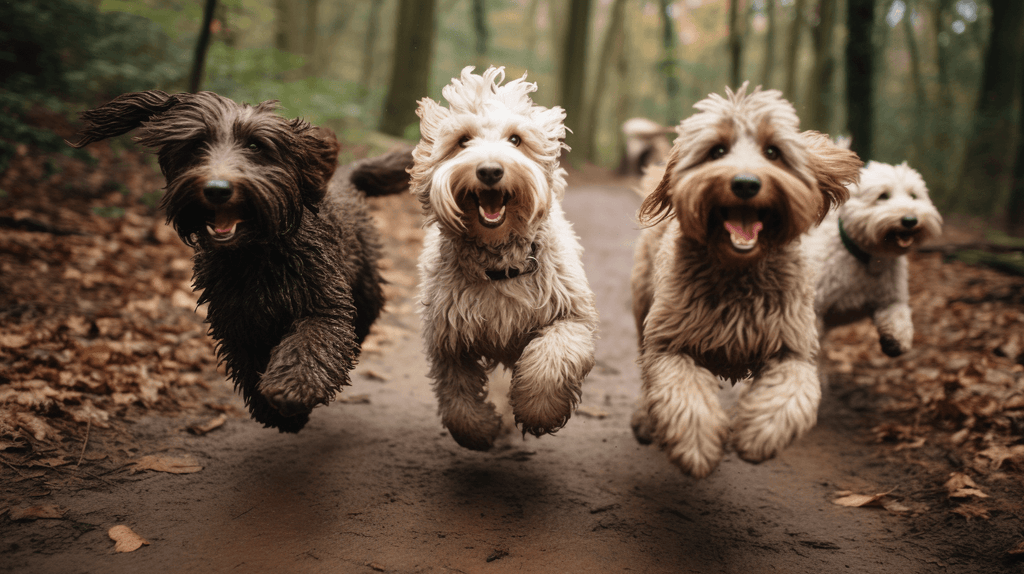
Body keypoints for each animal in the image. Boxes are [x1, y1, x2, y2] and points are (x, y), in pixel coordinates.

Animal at [68, 90, 413, 429]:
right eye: (196, 144)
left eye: (255, 146)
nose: (217, 189)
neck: (255, 255)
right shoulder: (237, 320)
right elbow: (250, 365)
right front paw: (275, 412)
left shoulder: (324, 305)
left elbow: (310, 346)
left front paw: (292, 390)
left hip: (365, 287)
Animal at [409, 67, 598, 450]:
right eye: (462, 140)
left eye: (516, 139)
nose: (490, 171)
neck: (498, 263)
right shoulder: (448, 337)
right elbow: (456, 395)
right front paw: (479, 430)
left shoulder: (571, 317)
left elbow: (552, 358)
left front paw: (539, 411)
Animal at [626, 83, 860, 478]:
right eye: (717, 151)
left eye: (773, 152)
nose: (746, 183)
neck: (739, 271)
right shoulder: (671, 342)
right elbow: (682, 395)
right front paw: (697, 446)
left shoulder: (793, 347)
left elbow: (791, 394)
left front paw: (759, 436)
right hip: (645, 306)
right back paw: (644, 420)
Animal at [802, 158, 937, 356]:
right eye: (883, 196)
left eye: (913, 196)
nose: (910, 220)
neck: (869, 259)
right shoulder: (814, 308)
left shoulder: (891, 300)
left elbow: (898, 315)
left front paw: (895, 341)